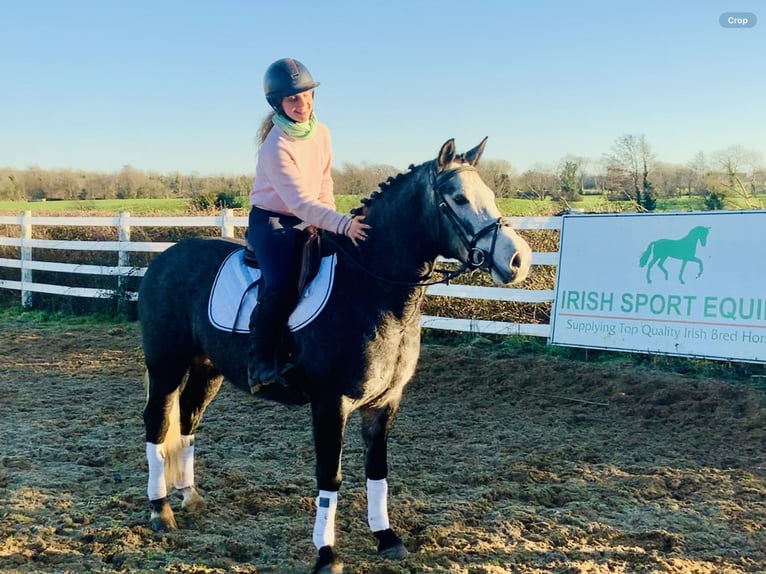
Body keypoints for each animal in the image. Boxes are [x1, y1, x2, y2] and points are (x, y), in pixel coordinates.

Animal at [140, 138, 536, 572]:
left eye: (492, 195)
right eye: (460, 199)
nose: (518, 260)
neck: (370, 289)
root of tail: (163, 258)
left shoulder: (384, 403)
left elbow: (377, 470)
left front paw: (386, 537)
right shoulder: (332, 403)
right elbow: (330, 476)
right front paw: (327, 554)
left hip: (207, 369)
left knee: (188, 418)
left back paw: (189, 496)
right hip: (165, 365)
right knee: (158, 423)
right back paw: (160, 510)